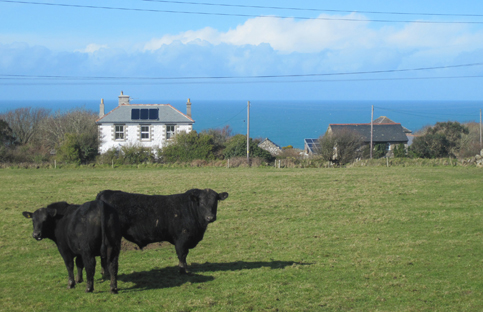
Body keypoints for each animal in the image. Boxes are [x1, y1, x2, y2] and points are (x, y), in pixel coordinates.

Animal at [97, 188, 230, 272]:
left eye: (215, 202)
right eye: (201, 203)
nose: (210, 217)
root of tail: (105, 192)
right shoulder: (182, 239)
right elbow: (182, 255)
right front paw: (184, 270)